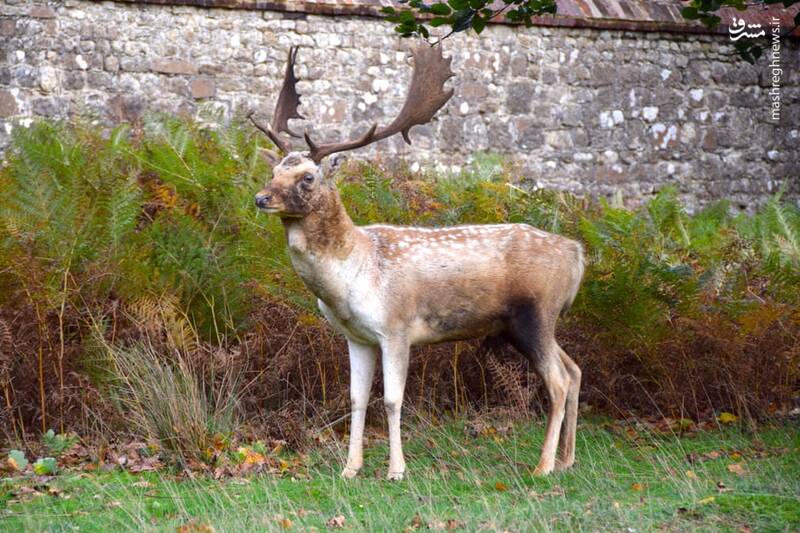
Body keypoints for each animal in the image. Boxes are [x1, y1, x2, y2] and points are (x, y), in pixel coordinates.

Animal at [253, 44, 584, 478]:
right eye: (274, 170)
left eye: (308, 177)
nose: (261, 198)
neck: (351, 276)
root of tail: (577, 255)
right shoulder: (357, 337)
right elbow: (357, 399)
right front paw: (350, 469)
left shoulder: (396, 327)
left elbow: (392, 400)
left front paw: (396, 470)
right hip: (536, 322)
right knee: (575, 370)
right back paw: (567, 459)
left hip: (536, 313)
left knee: (559, 381)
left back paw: (543, 466)